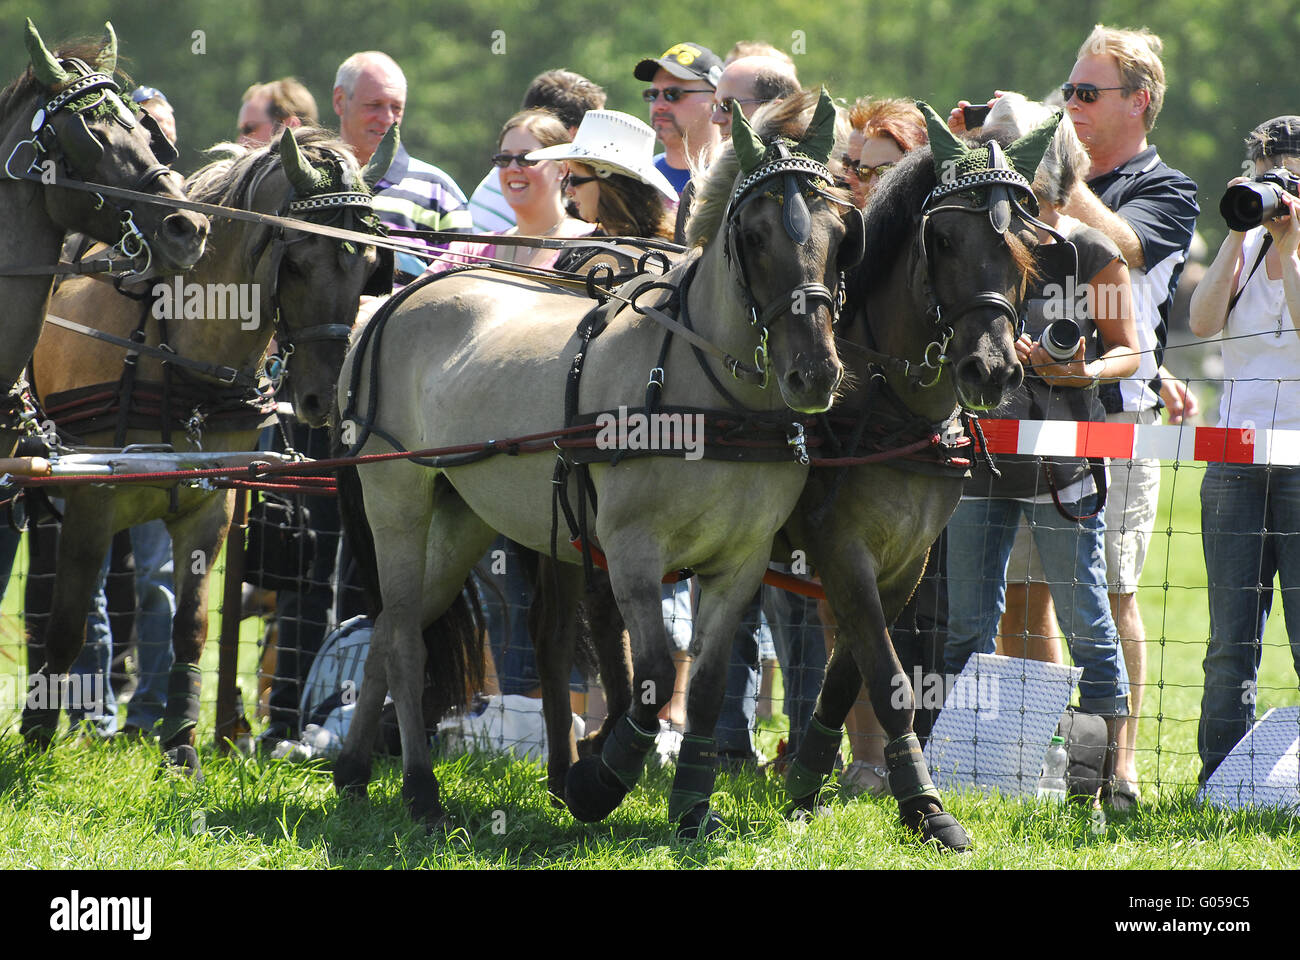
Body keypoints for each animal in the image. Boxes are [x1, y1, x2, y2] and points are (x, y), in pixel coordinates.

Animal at [19, 127, 395, 775]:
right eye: (297, 263)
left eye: (370, 266)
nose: (323, 397)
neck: (177, 351)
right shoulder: (90, 496)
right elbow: (66, 623)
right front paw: (38, 735)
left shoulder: (209, 505)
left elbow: (190, 626)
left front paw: (182, 745)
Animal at [335, 91, 857, 837]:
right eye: (755, 236)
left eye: (841, 235)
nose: (813, 374)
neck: (708, 395)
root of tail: (390, 303)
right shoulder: (631, 549)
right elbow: (653, 673)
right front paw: (597, 781)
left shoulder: (741, 561)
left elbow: (704, 686)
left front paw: (691, 808)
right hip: (397, 496)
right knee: (405, 636)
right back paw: (419, 792)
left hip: (462, 514)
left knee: (388, 630)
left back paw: (352, 772)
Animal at [774, 106, 1060, 853]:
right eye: (943, 238)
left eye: (1027, 244)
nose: (992, 370)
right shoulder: (842, 551)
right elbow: (890, 676)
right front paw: (926, 805)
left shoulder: (904, 559)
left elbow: (851, 672)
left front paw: (807, 782)